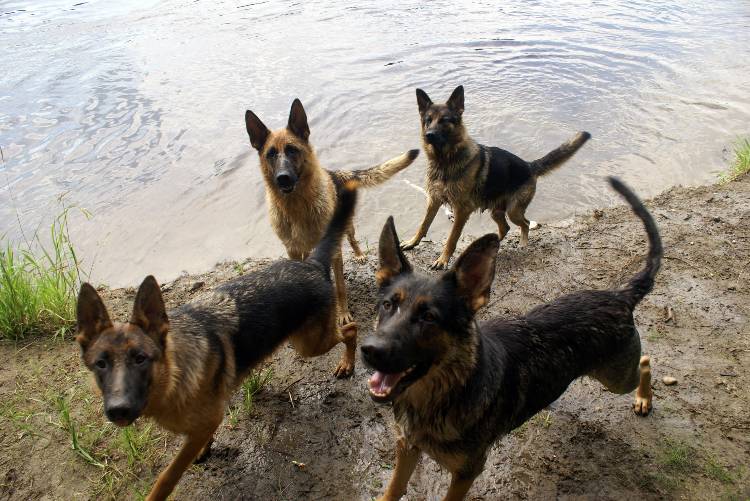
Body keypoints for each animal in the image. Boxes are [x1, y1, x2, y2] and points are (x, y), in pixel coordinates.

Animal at [78, 184, 360, 500]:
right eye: (101, 364)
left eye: (141, 359)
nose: (118, 410)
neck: (173, 374)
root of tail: (310, 264)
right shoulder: (201, 423)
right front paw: (206, 449)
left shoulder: (206, 422)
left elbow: (168, 475)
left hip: (310, 344)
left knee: (352, 329)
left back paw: (348, 363)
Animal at [248, 98, 420, 324]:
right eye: (271, 154)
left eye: (292, 150)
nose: (282, 178)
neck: (297, 207)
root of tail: (335, 173)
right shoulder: (293, 250)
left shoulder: (335, 251)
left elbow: (339, 287)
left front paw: (342, 313)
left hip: (348, 228)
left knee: (352, 239)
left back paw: (359, 254)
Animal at [364, 177, 664, 500]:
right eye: (388, 305)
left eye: (429, 317)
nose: (369, 350)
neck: (446, 390)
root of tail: (619, 296)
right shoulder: (407, 447)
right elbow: (393, 489)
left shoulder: (467, 471)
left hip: (617, 378)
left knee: (645, 361)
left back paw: (644, 398)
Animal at [402, 87, 592, 270]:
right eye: (428, 120)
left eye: (444, 120)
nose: (429, 135)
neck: (445, 160)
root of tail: (529, 166)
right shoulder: (433, 201)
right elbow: (423, 225)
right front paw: (412, 242)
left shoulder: (461, 210)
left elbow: (451, 238)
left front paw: (443, 260)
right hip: (496, 211)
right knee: (505, 228)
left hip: (513, 211)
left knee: (525, 223)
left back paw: (523, 243)